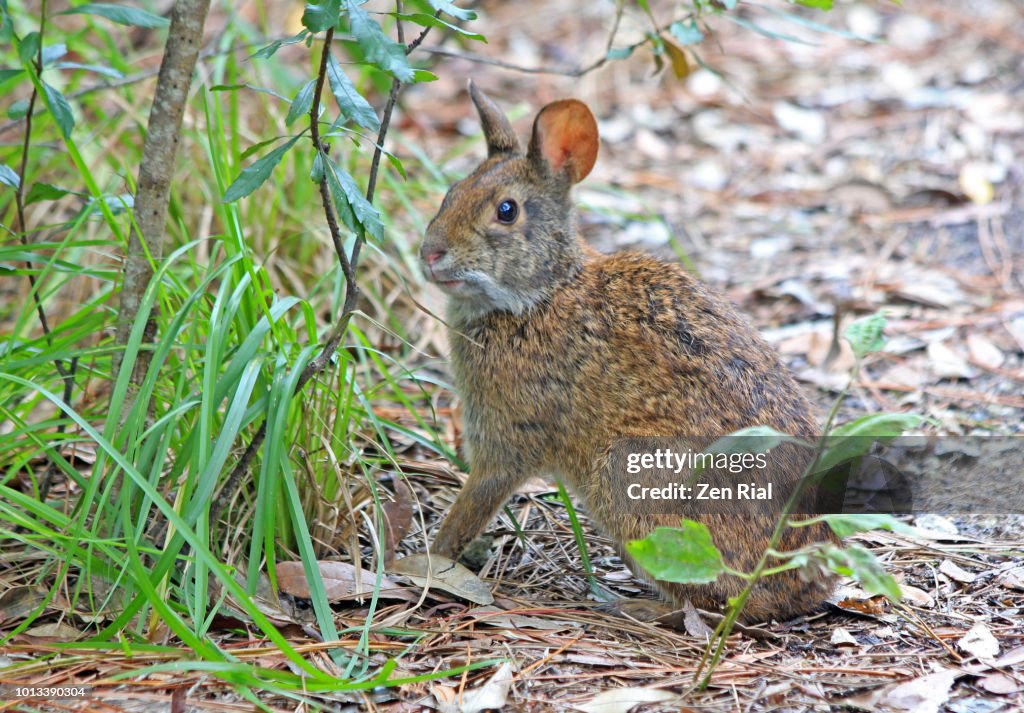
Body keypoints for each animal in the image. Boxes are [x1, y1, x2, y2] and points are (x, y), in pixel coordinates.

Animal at [418, 81, 836, 623]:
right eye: (451, 192)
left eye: (506, 211)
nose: (430, 253)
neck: (541, 294)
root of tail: (806, 584)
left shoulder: (505, 439)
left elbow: (474, 501)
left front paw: (429, 560)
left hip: (632, 477)